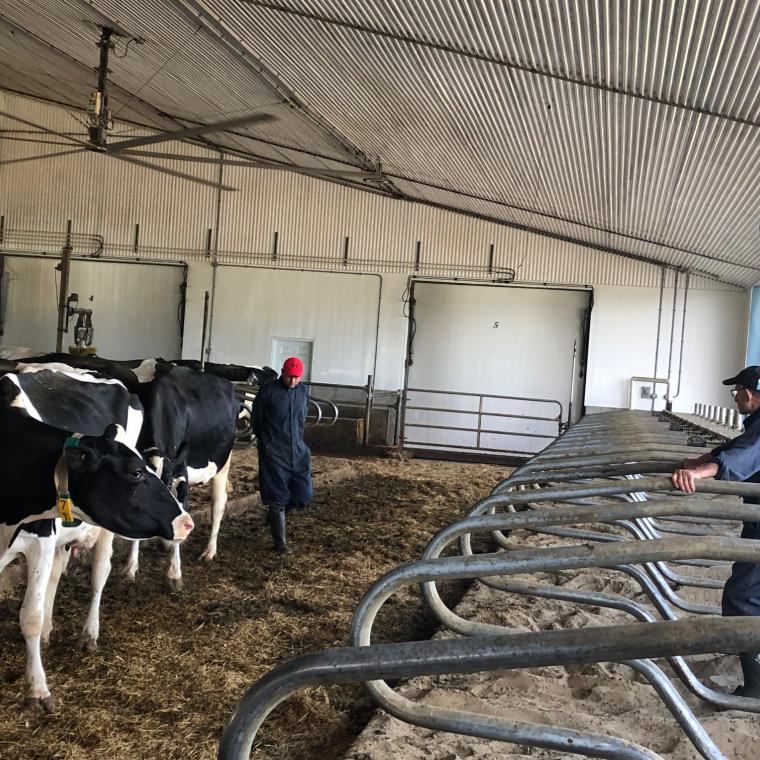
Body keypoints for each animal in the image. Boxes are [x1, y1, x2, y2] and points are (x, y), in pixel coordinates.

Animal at [0, 366, 194, 708]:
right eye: (135, 473)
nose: (186, 522)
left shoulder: (41, 538)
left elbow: (30, 615)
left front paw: (37, 688)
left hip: (103, 532)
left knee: (99, 576)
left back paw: (90, 633)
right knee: (55, 576)